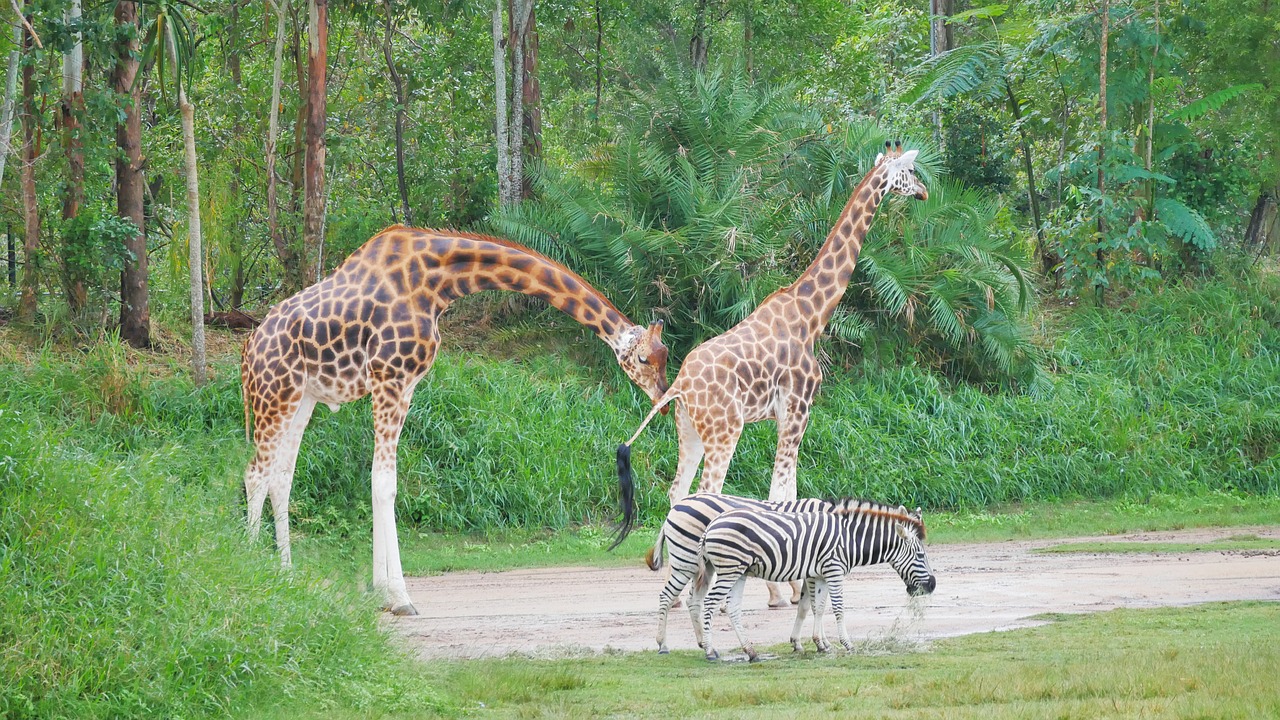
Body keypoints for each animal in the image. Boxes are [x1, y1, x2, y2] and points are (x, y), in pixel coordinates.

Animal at [240, 226, 670, 614]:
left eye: (666, 356)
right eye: (644, 358)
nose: (664, 401)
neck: (437, 282)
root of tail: (248, 352)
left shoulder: (405, 385)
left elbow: (377, 482)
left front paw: (381, 593)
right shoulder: (390, 379)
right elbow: (384, 484)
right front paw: (399, 597)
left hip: (303, 397)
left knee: (281, 476)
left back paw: (286, 573)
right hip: (274, 393)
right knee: (255, 473)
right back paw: (254, 567)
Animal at [611, 137, 926, 602]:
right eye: (910, 172)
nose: (924, 192)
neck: (812, 314)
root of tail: (680, 386)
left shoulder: (783, 415)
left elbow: (783, 493)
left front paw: (783, 585)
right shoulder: (798, 408)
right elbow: (784, 490)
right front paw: (790, 588)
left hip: (689, 431)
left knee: (677, 492)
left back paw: (679, 579)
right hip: (726, 430)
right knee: (707, 492)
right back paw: (702, 583)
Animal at [645, 491, 834, 650]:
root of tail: (675, 507)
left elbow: (807, 606)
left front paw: (805, 642)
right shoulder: (814, 570)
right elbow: (815, 606)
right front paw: (821, 642)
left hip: (703, 567)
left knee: (693, 600)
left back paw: (703, 643)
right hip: (686, 561)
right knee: (666, 596)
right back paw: (663, 644)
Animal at [691, 497, 942, 661]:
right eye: (921, 555)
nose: (932, 585)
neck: (849, 539)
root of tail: (710, 526)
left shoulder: (820, 574)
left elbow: (818, 607)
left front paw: (821, 644)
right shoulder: (834, 569)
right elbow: (838, 608)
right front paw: (847, 644)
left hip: (739, 571)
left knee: (733, 608)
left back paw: (750, 652)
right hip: (729, 569)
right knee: (710, 603)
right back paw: (710, 651)